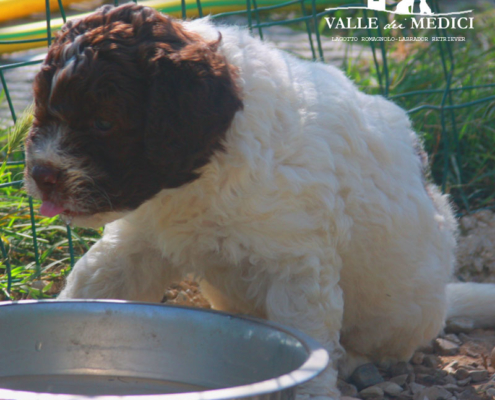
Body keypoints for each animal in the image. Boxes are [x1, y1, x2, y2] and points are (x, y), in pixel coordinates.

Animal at [23, 4, 495, 398]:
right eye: (41, 110)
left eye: (104, 123)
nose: (42, 174)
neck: (205, 171)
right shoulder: (139, 239)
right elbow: (95, 282)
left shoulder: (297, 264)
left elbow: (310, 339)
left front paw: (311, 391)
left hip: (401, 309)